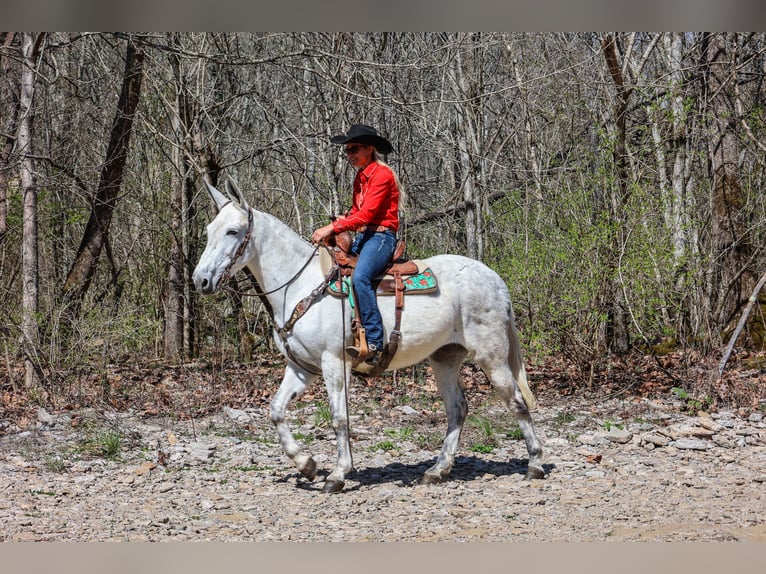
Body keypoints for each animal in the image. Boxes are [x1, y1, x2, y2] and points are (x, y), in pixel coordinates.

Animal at [195, 180, 548, 496]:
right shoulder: (302, 368)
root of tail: (495, 279)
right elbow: (276, 409)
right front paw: (306, 464)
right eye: (210, 230)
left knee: (516, 401)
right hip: (445, 357)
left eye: (232, 232)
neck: (299, 287)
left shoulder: (334, 363)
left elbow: (339, 418)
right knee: (457, 408)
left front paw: (338, 475)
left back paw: (534, 464)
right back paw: (437, 470)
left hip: (491, 356)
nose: (201, 280)